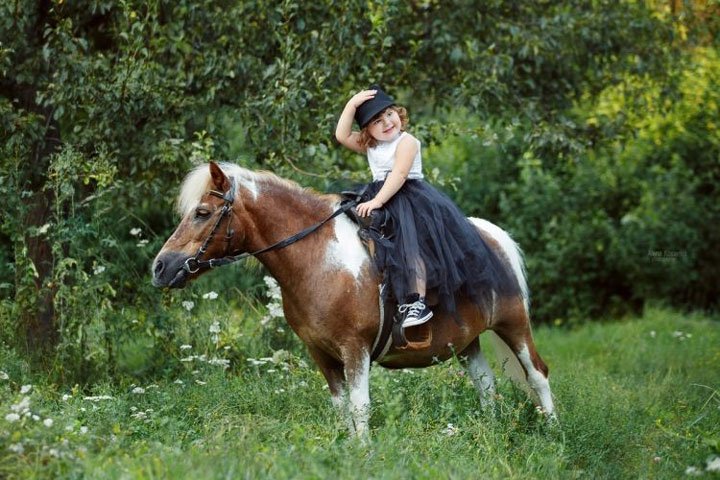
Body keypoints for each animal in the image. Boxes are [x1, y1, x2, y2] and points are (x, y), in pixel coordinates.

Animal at [152, 161, 555, 438]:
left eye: (202, 213)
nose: (160, 267)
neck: (320, 260)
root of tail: (492, 236)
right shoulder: (321, 353)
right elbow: (341, 407)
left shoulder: (355, 348)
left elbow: (360, 407)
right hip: (467, 341)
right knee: (486, 386)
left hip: (514, 324)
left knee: (537, 373)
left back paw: (553, 432)